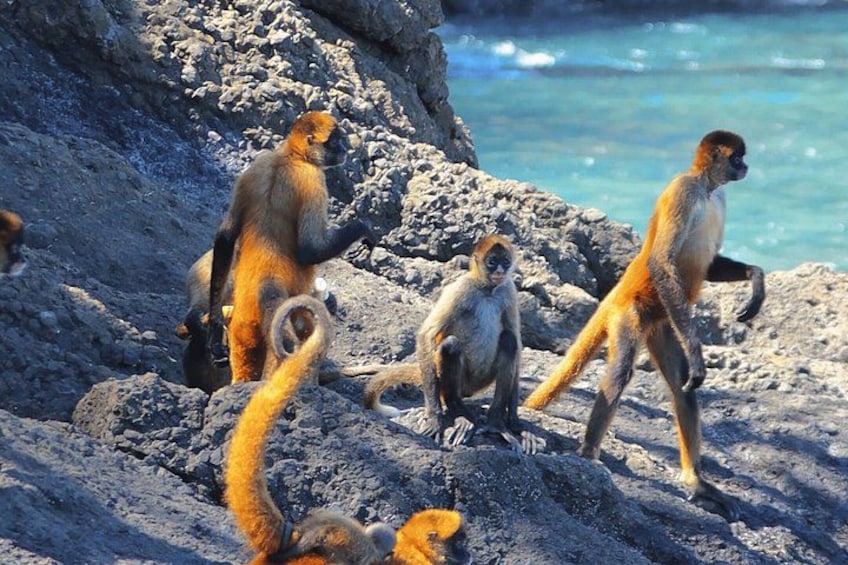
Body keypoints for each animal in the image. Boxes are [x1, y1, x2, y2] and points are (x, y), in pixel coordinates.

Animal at [208, 111, 375, 384]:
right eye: (334, 141)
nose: (343, 148)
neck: (290, 157)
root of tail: (266, 283)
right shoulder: (313, 179)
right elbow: (310, 251)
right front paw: (363, 228)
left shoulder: (257, 165)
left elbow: (226, 237)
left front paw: (212, 329)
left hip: (242, 326)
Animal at [523, 130, 765, 521]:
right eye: (737, 158)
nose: (745, 168)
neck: (707, 189)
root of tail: (617, 293)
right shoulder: (684, 191)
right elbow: (662, 261)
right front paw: (698, 353)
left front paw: (756, 279)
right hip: (633, 314)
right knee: (620, 373)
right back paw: (588, 454)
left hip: (665, 324)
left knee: (683, 389)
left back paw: (695, 481)